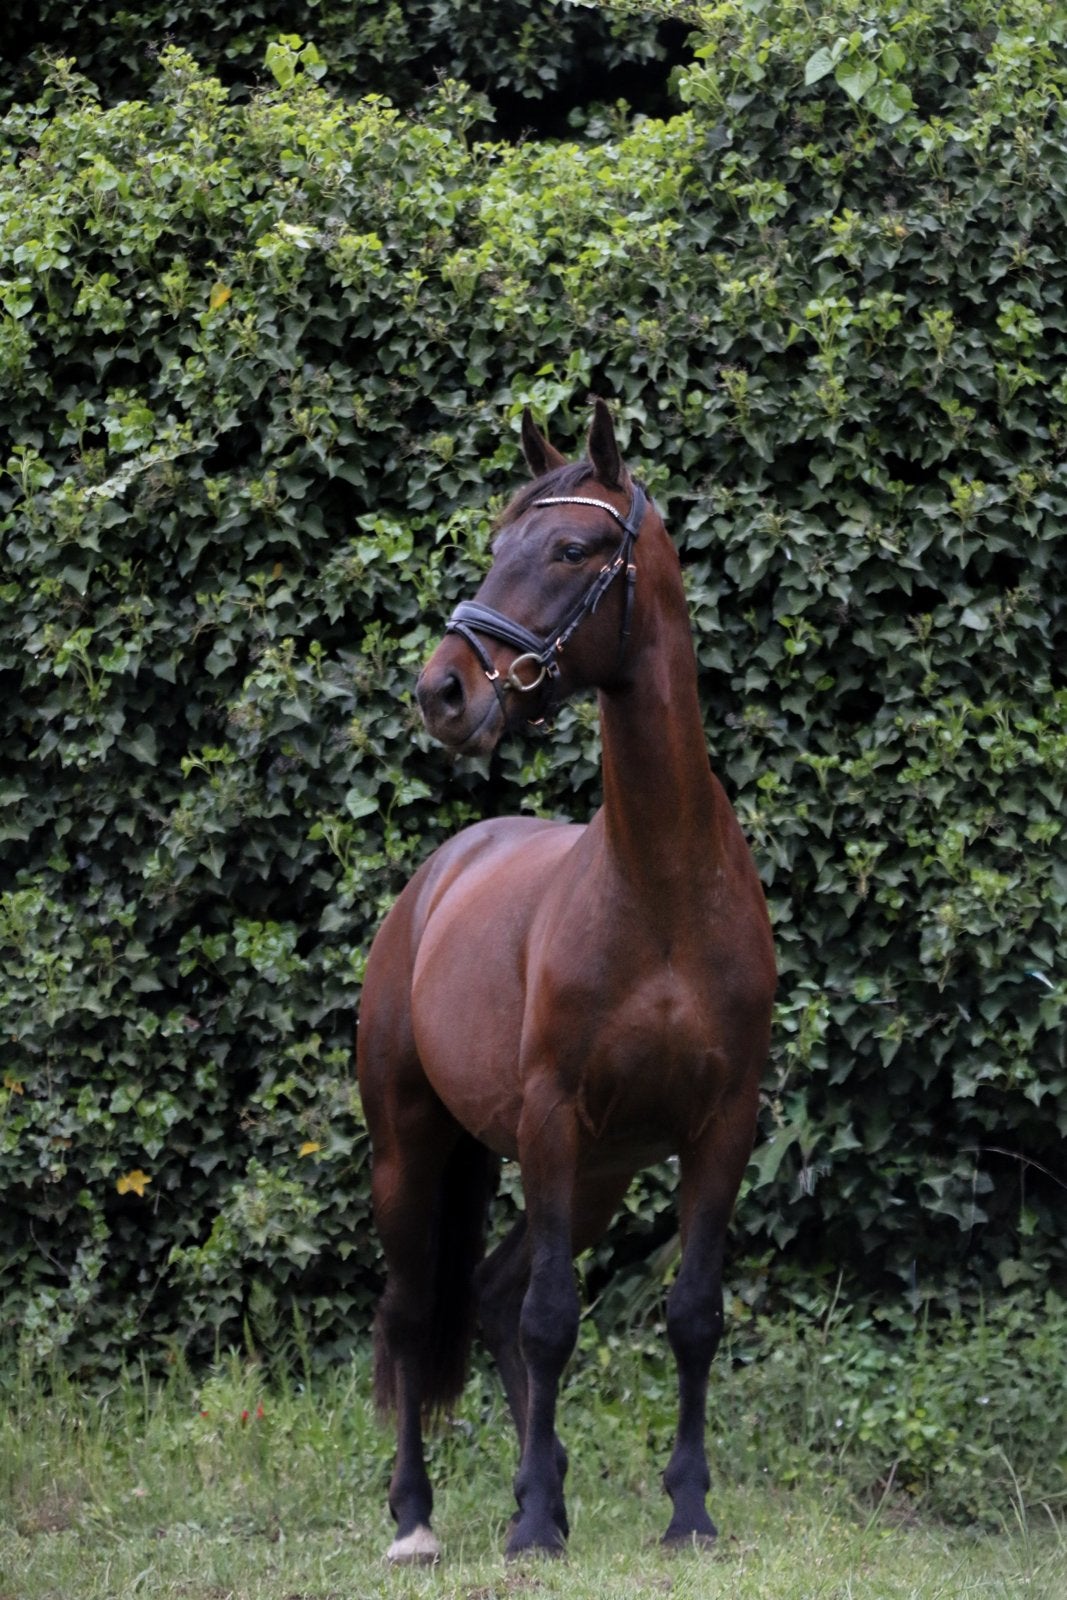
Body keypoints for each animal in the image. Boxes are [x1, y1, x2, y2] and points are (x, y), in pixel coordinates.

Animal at [356, 400, 776, 1563]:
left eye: (574, 549)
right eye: (497, 544)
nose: (443, 691)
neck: (662, 885)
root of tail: (438, 878)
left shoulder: (721, 1125)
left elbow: (690, 1316)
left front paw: (685, 1512)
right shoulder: (550, 1117)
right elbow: (554, 1320)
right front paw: (537, 1524)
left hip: (598, 1174)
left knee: (494, 1295)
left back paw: (529, 1484)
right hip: (412, 1147)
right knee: (416, 1313)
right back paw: (417, 1517)